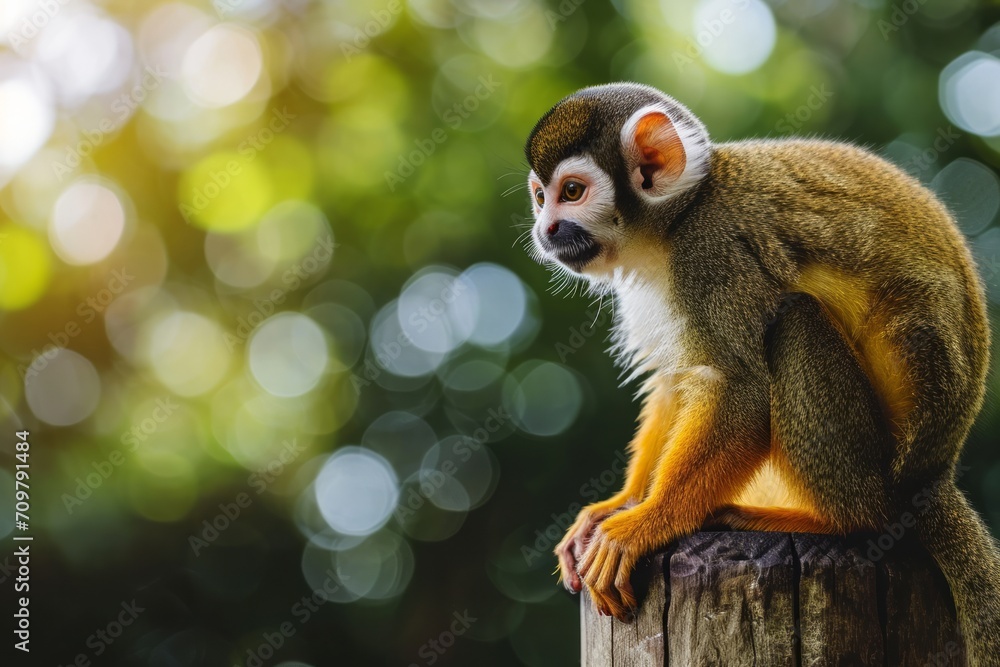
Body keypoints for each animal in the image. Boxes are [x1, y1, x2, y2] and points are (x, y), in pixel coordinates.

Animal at [522, 82, 999, 665]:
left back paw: (841, 520)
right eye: (540, 197)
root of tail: (931, 474)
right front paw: (620, 506)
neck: (674, 224)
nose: (545, 231)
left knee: (794, 323)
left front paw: (644, 525)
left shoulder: (716, 253)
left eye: (571, 191)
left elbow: (744, 388)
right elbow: (678, 381)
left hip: (881, 466)